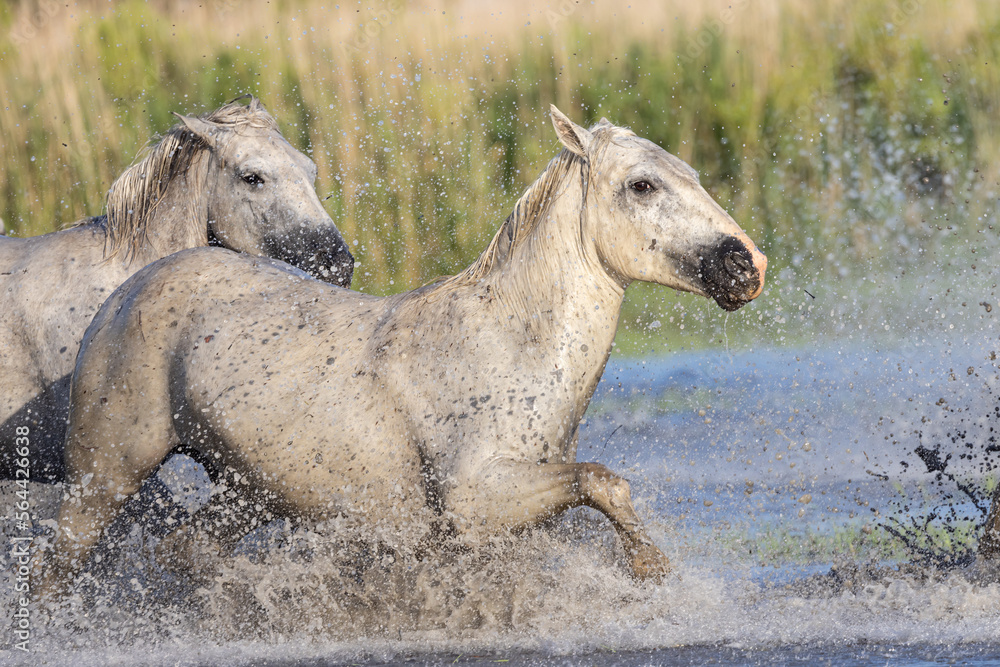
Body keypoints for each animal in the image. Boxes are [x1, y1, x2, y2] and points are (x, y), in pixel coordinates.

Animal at [37, 105, 766, 598]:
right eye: (643, 185)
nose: (746, 265)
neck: (507, 343)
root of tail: (133, 284)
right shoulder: (478, 500)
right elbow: (603, 480)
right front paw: (651, 568)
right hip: (104, 478)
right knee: (55, 568)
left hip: (248, 491)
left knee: (184, 550)